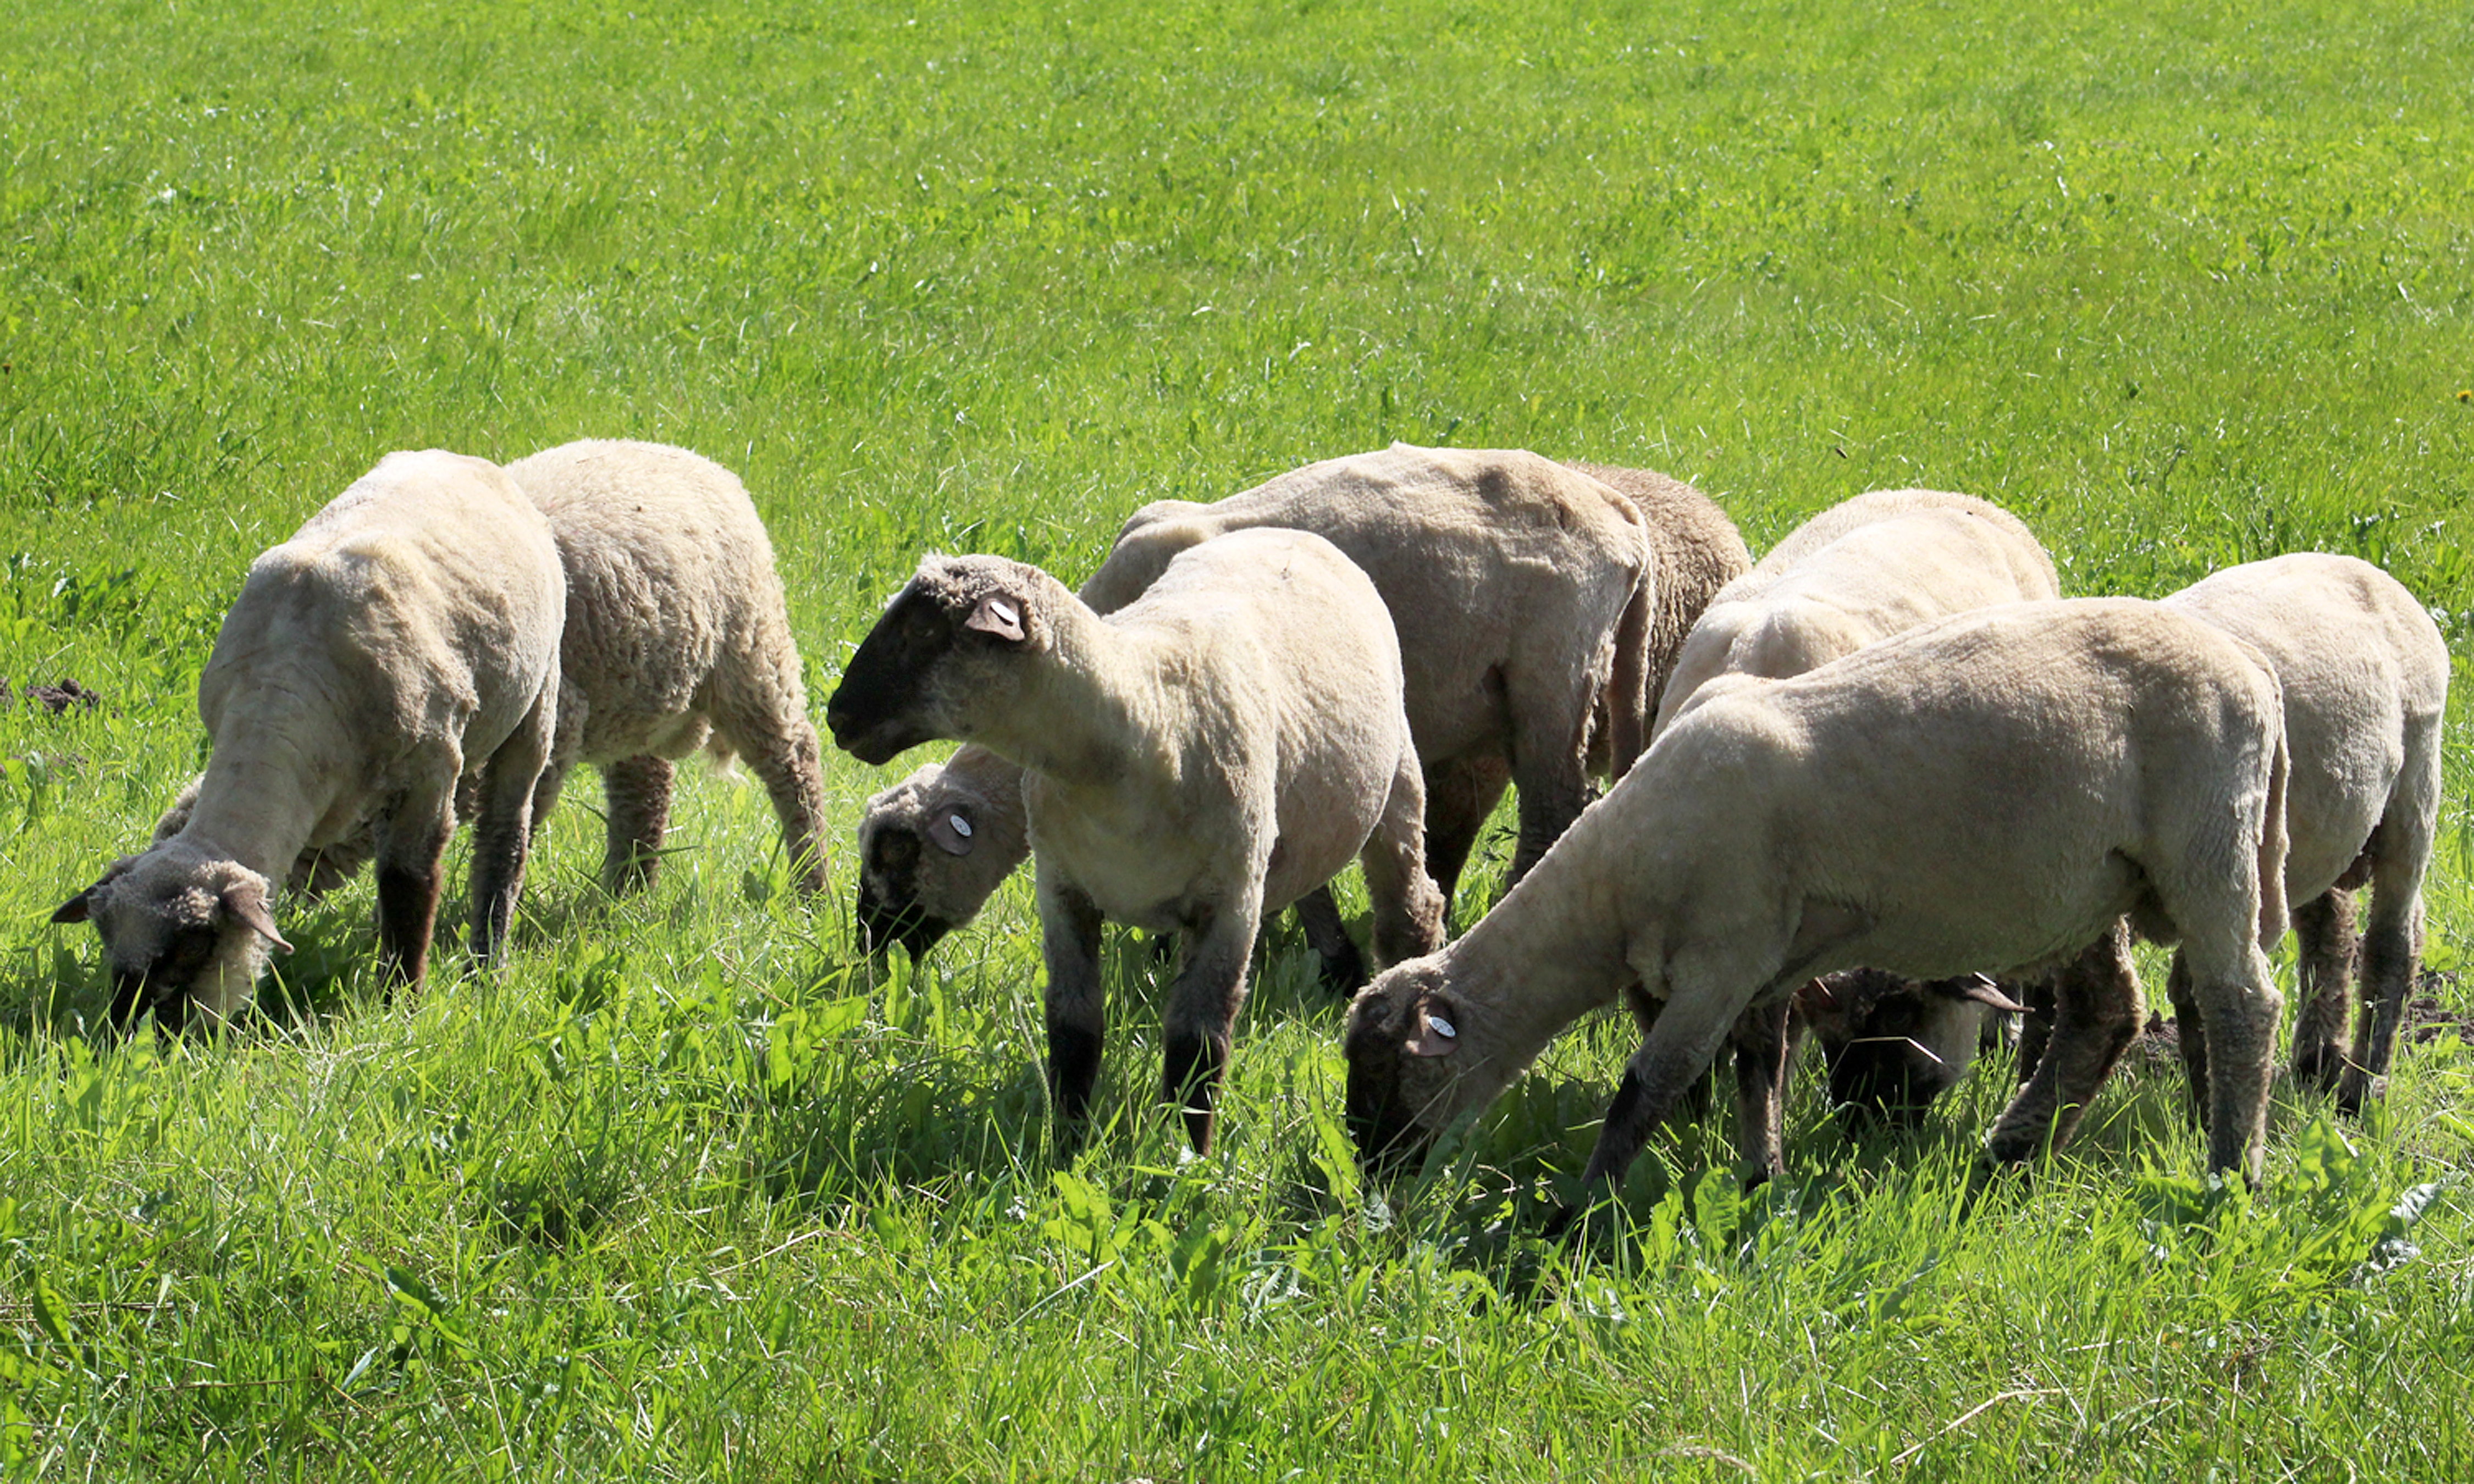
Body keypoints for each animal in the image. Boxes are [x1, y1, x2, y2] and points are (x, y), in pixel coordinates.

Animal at [53, 450, 566, 1034]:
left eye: (193, 946)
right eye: (106, 940)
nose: (129, 1038)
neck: (284, 691)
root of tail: (463, 458)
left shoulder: (430, 774)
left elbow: (409, 886)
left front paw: (400, 1003)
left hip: (536, 703)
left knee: (505, 840)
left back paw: (487, 965)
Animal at [826, 527, 1445, 1153]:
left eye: (923, 631)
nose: (836, 716)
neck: (1146, 713)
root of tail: (1290, 534)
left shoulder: (1230, 907)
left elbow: (1199, 1043)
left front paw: (1185, 1157)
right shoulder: (1063, 891)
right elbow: (1074, 1027)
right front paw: (1067, 1146)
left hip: (1397, 780)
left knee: (1412, 906)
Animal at [856, 442, 1761, 965]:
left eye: (898, 856)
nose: (867, 961)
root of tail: (1623, 516)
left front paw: (1328, 960)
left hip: (1553, 676)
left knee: (1551, 816)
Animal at [1346, 596, 2286, 1212]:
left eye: (1391, 1068)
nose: (1371, 1177)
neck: (1615, 880)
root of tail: (2254, 674)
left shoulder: (1723, 955)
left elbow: (1649, 1086)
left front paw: (1581, 1214)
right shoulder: (1767, 959)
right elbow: (1760, 1062)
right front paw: (1760, 1181)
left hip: (2206, 844)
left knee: (2243, 1004)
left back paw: (2230, 1175)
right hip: (2095, 883)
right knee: (2109, 1011)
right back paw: (2011, 1155)